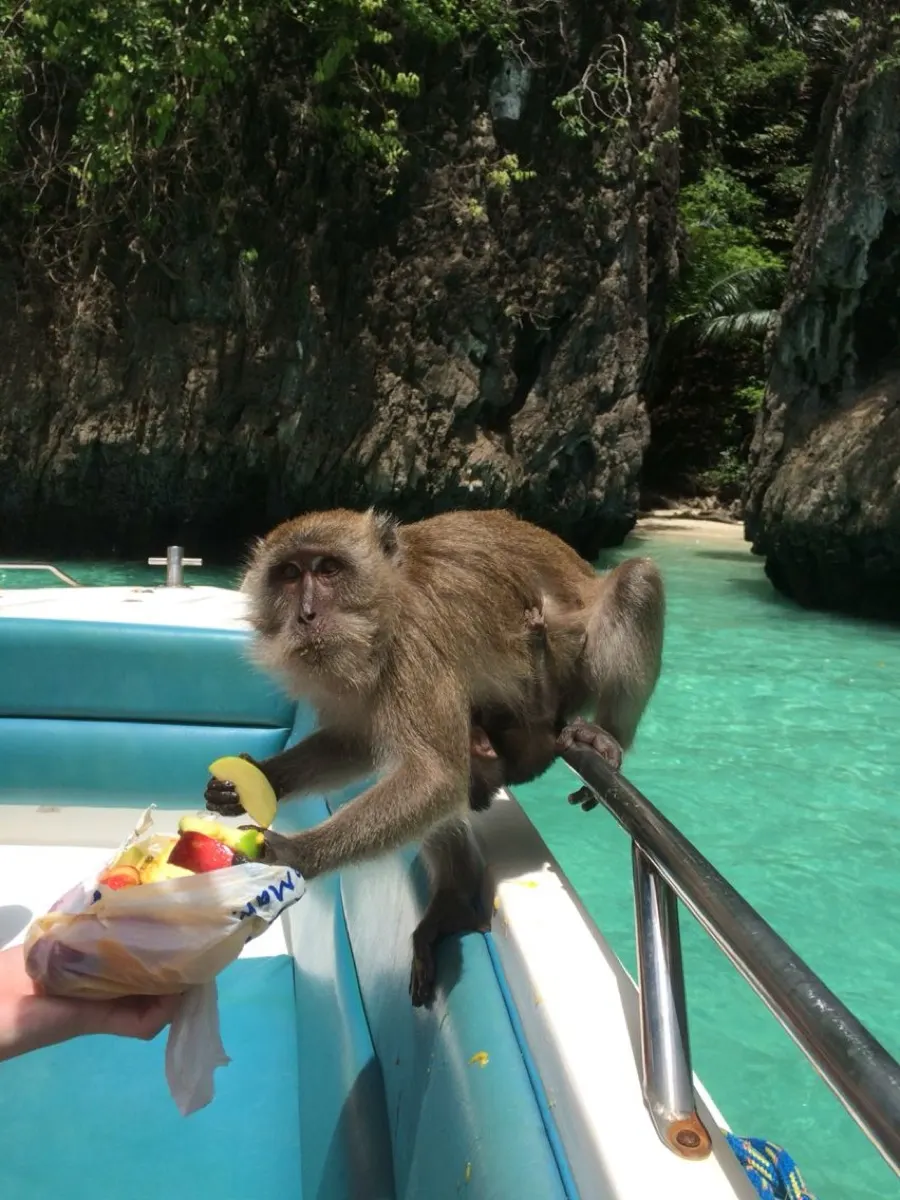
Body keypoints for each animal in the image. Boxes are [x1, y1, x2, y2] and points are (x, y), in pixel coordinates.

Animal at [204, 507, 665, 1004]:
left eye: (328, 569)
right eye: (289, 574)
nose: (307, 615)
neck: (388, 601)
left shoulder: (415, 645)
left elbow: (434, 777)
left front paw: (293, 854)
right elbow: (359, 744)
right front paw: (256, 779)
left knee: (636, 579)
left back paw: (601, 731)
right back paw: (452, 905)